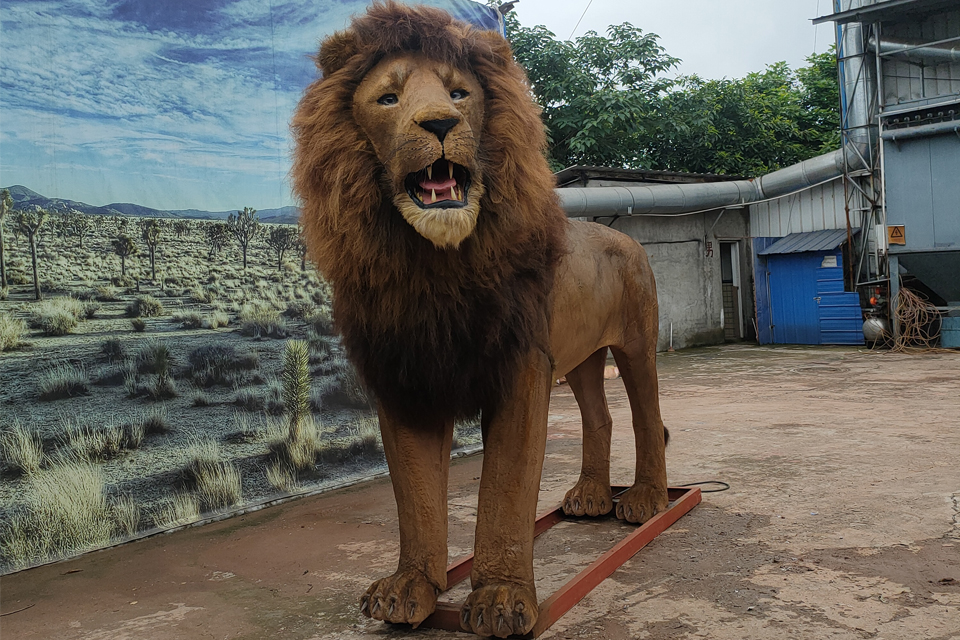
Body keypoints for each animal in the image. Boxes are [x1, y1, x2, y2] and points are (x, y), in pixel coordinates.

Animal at [291, 3, 668, 636]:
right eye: (388, 98)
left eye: (459, 92)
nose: (441, 124)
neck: (433, 266)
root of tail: (625, 237)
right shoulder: (403, 381)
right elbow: (416, 497)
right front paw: (410, 588)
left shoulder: (520, 369)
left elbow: (506, 490)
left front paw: (500, 597)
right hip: (581, 355)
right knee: (600, 417)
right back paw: (591, 496)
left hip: (636, 342)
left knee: (648, 419)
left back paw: (646, 501)